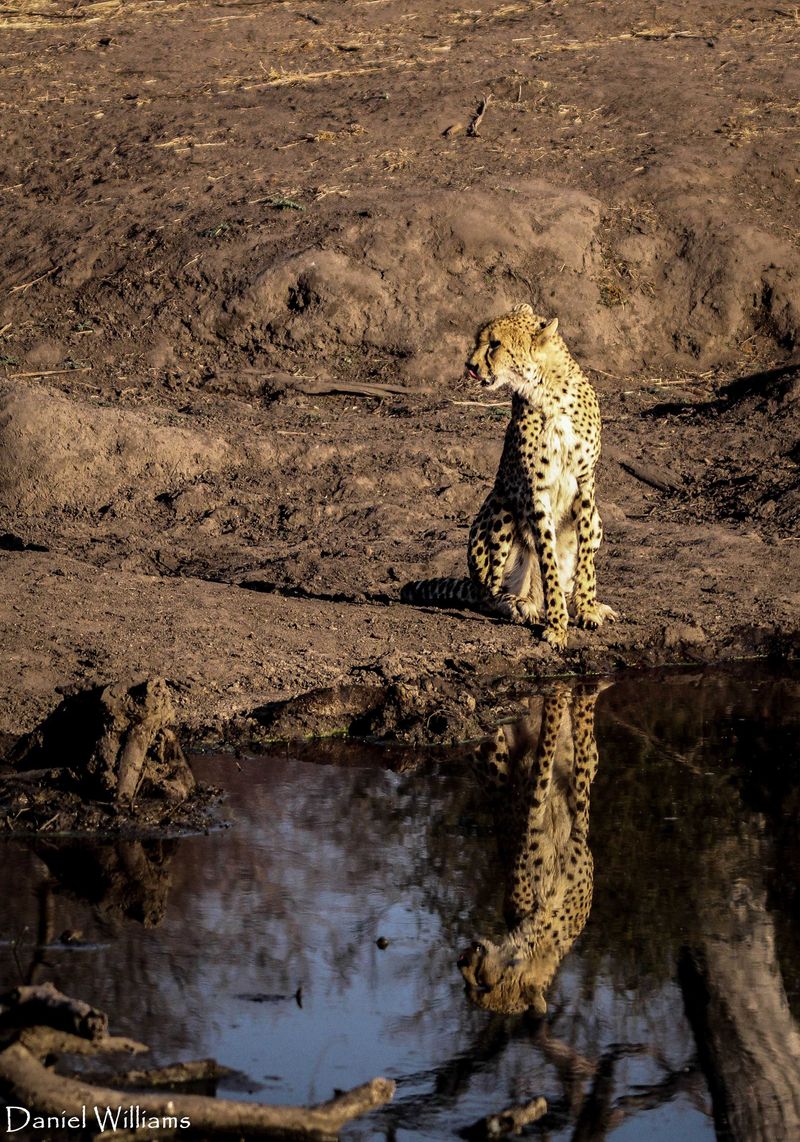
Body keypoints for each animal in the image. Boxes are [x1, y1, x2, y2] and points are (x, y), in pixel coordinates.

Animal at [401, 303, 616, 650]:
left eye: (495, 344)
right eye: (480, 341)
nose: (470, 365)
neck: (549, 390)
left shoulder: (585, 482)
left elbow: (584, 560)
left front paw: (586, 609)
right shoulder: (536, 490)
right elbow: (548, 561)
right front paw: (557, 626)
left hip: (597, 519)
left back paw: (584, 603)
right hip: (499, 506)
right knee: (490, 593)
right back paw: (520, 605)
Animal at [457, 682, 604, 1017]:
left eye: (484, 985)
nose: (462, 959)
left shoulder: (580, 798)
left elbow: (571, 741)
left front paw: (566, 698)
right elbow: (547, 750)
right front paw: (560, 699)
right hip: (494, 760)